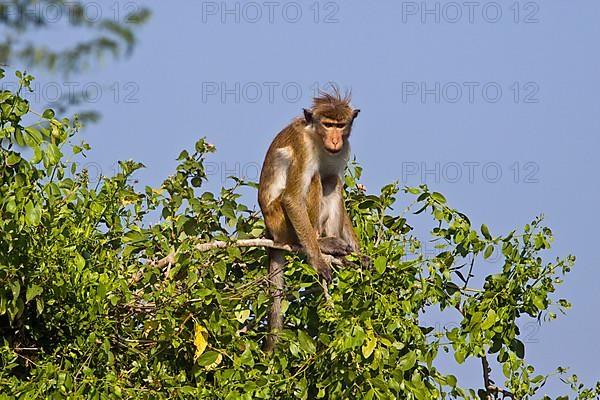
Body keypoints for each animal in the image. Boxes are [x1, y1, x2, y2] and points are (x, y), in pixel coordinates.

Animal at [258, 88, 360, 354]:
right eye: (327, 124)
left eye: (340, 125)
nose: (335, 140)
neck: (316, 138)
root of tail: (270, 231)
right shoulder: (303, 148)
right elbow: (293, 198)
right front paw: (318, 262)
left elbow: (333, 177)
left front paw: (360, 255)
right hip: (280, 221)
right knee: (314, 179)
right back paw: (320, 244)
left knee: (331, 180)